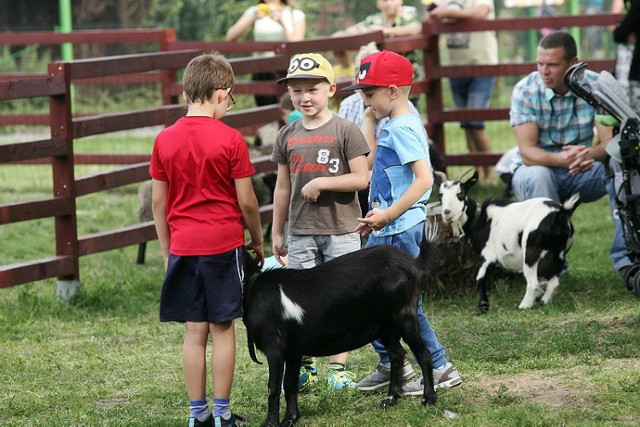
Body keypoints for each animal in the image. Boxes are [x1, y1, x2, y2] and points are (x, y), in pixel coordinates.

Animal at [242, 232, 438, 426]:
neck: (253, 288)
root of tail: (414, 264)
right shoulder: (294, 350)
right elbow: (290, 383)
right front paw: (290, 419)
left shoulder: (274, 347)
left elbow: (273, 387)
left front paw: (269, 423)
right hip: (385, 326)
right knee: (397, 355)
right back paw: (390, 399)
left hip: (404, 315)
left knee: (423, 353)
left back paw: (428, 398)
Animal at [436, 170, 580, 314]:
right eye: (440, 195)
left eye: (460, 193)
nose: (447, 213)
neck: (480, 220)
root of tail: (560, 213)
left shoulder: (489, 255)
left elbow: (480, 279)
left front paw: (482, 308)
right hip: (559, 251)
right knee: (554, 282)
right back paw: (542, 302)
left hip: (531, 251)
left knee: (533, 284)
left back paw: (523, 306)